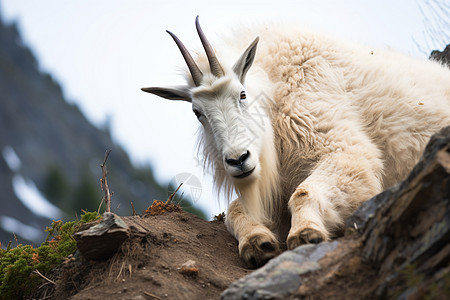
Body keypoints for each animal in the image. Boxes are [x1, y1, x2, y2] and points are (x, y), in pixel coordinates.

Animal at [142, 17, 450, 268]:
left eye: (241, 94)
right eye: (198, 112)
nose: (238, 160)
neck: (275, 90)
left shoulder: (342, 150)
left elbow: (303, 192)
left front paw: (306, 234)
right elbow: (235, 209)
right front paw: (258, 243)